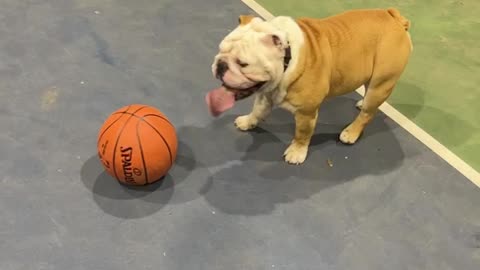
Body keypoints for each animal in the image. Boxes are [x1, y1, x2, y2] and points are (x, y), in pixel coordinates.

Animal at [207, 7, 412, 165]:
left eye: (243, 64)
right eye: (220, 49)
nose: (220, 65)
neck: (287, 60)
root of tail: (393, 16)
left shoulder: (306, 113)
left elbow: (302, 134)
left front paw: (296, 152)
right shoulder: (265, 95)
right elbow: (257, 111)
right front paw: (248, 122)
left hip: (381, 83)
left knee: (367, 114)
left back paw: (351, 132)